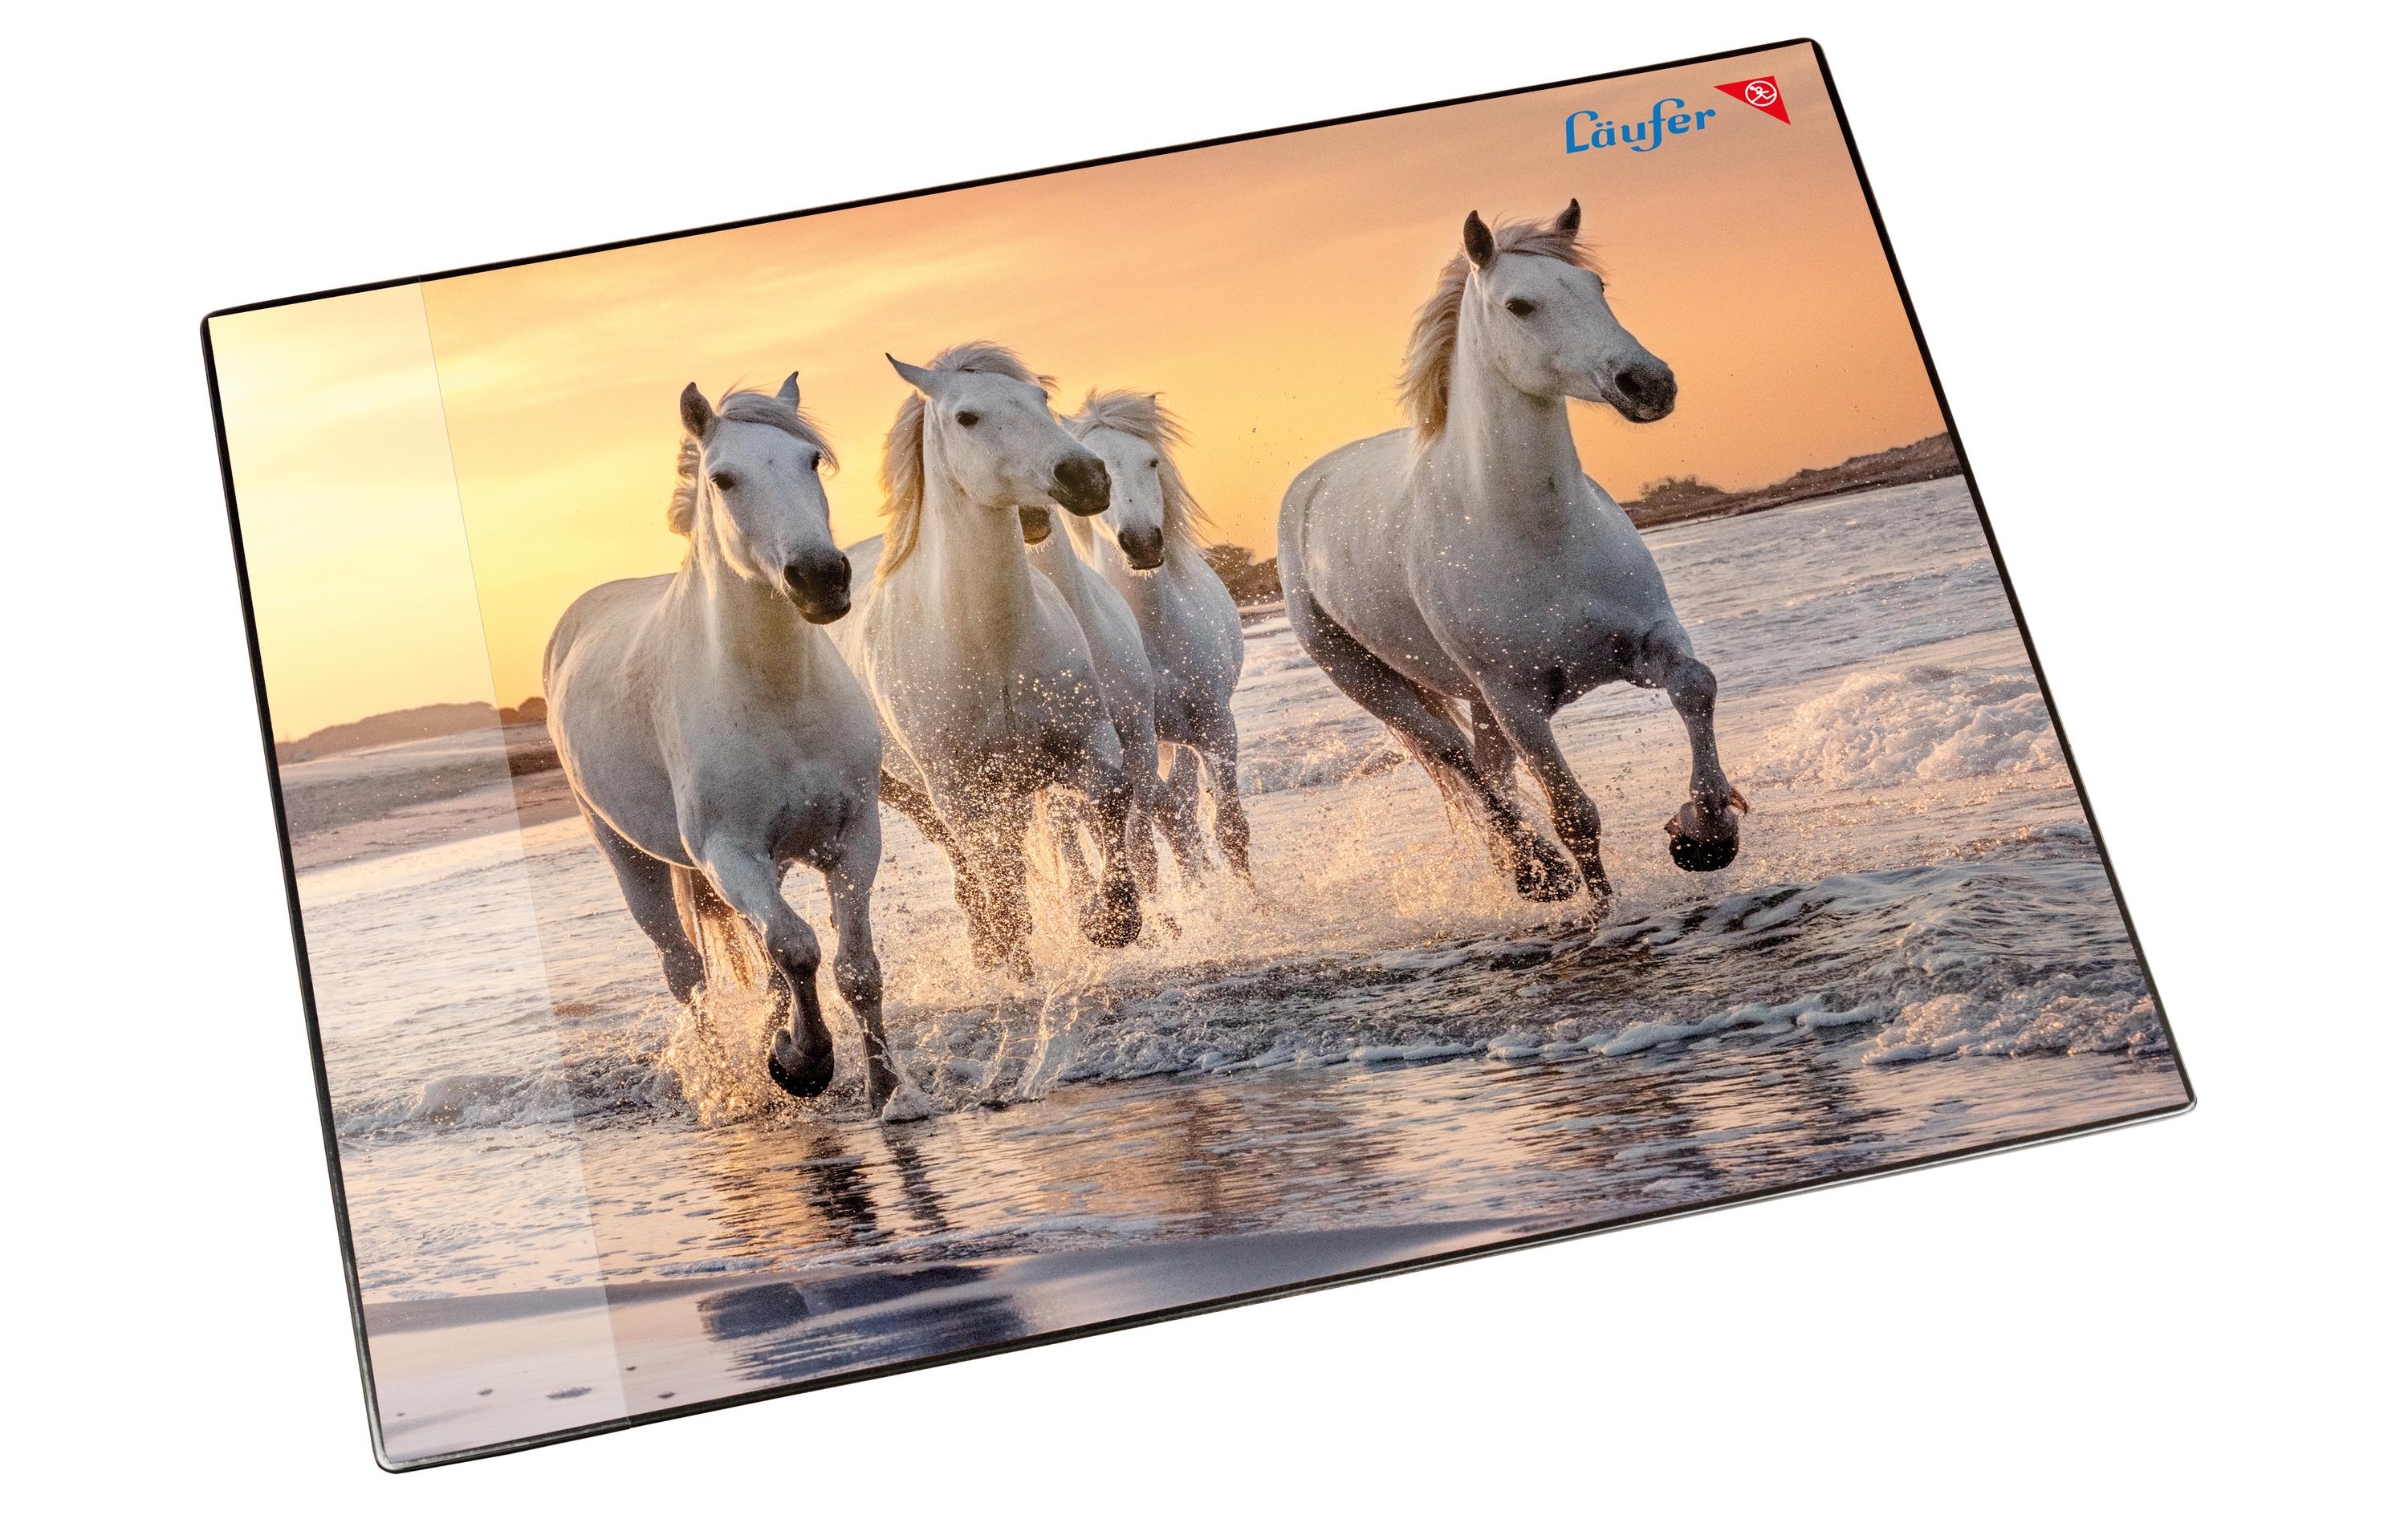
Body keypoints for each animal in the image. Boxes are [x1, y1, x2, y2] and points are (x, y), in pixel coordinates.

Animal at [544, 375, 897, 1107]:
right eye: (723, 478)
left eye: (810, 461)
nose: (820, 578)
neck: (778, 698)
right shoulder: (729, 854)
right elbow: (796, 948)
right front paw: (805, 1065)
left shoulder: (854, 835)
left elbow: (853, 967)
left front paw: (887, 1092)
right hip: (631, 859)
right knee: (686, 973)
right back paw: (723, 1085)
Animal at [828, 343, 1144, 977]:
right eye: (967, 417)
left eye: (1040, 398)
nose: (1086, 476)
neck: (991, 648)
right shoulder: (958, 790)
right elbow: (997, 876)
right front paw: (1016, 958)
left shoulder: (1088, 743)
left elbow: (1111, 800)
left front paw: (1112, 920)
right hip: (910, 793)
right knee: (969, 864)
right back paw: (989, 945)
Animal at [1061, 392, 1253, 881]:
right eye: (1100, 468)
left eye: (1151, 461)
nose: (1143, 542)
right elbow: (1154, 834)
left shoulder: (1214, 725)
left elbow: (1229, 830)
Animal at [1275, 201, 1745, 916]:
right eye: (1519, 305)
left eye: (1597, 287)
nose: (1648, 383)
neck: (1537, 534)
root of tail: (1309, 488)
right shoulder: (1516, 701)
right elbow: (1575, 814)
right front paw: (1601, 910)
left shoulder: (1647, 644)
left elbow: (1697, 685)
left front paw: (1706, 833)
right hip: (1375, 683)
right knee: (1459, 762)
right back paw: (1534, 872)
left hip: (1473, 699)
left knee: (1486, 770)